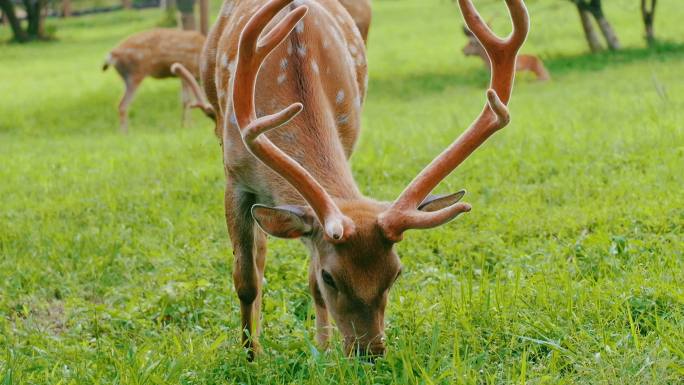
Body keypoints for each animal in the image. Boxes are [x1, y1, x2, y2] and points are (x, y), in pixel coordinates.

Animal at [179, 0, 528, 356]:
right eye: (330, 276)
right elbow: (246, 280)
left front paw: (322, 351)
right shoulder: (234, 175)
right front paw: (252, 355)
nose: (370, 352)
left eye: (396, 273)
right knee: (258, 255)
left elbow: (309, 284)